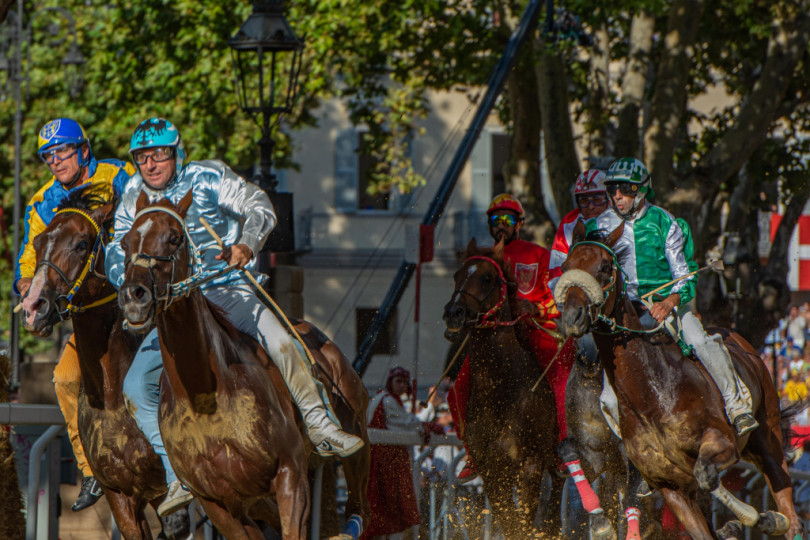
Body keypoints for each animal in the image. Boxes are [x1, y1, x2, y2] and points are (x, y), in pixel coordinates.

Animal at [20, 191, 189, 540]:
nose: (33, 307)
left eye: (82, 243)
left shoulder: (169, 492)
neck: (113, 392)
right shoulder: (122, 496)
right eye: (40, 241)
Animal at [117, 193, 370, 540]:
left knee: (359, 492)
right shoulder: (219, 504)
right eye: (125, 242)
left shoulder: (291, 474)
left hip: (355, 423)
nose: (134, 296)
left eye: (174, 237)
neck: (206, 396)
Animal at [442, 240, 560, 540]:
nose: (453, 312)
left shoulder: (530, 464)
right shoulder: (492, 470)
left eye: (487, 277)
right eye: (456, 275)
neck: (501, 392)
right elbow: (509, 522)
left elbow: (523, 523)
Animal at [552, 220, 800, 540]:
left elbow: (706, 474)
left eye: (605, 266)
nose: (573, 316)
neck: (652, 394)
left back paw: (772, 517)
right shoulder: (667, 485)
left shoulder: (722, 441)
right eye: (566, 267)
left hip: (766, 437)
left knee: (788, 507)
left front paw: (753, 518)